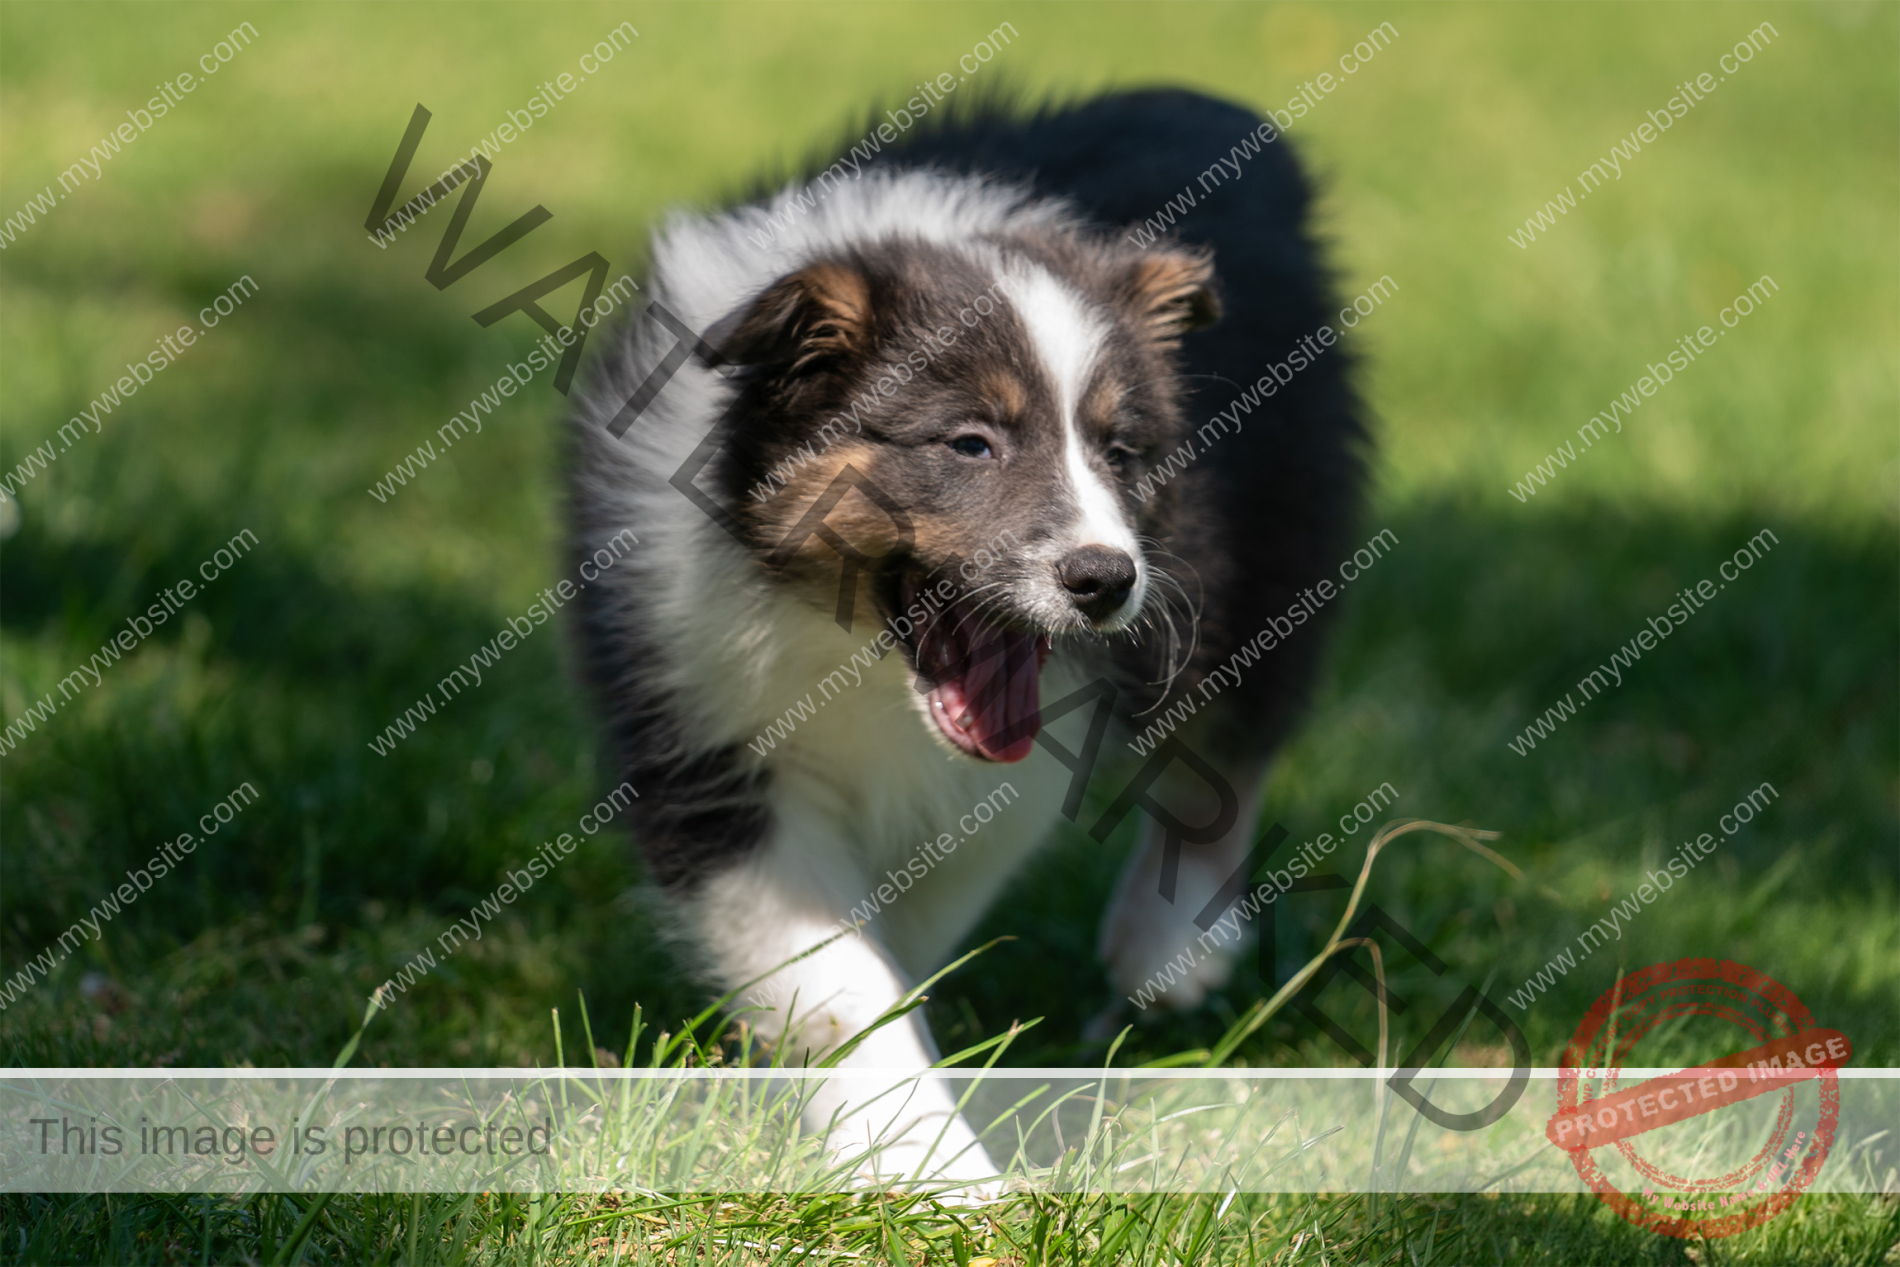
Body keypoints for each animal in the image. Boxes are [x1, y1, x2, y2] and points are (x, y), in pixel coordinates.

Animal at [562, 91, 1368, 1192]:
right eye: (971, 443)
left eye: (1120, 452)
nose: (1105, 579)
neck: (847, 652)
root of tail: (1206, 105)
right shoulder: (698, 729)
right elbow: (840, 980)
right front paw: (929, 1167)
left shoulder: (1015, 768)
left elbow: (902, 937)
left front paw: (928, 1167)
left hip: (1277, 541)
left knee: (1231, 738)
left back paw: (1167, 946)